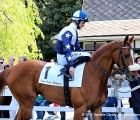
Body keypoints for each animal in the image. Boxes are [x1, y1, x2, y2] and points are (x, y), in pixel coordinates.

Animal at [0, 35, 135, 120]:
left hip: (24, 104)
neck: (92, 74)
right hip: (27, 104)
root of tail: (13, 68)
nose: (135, 74)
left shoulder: (97, 108)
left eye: (134, 54)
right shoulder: (79, 109)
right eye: (126, 55)